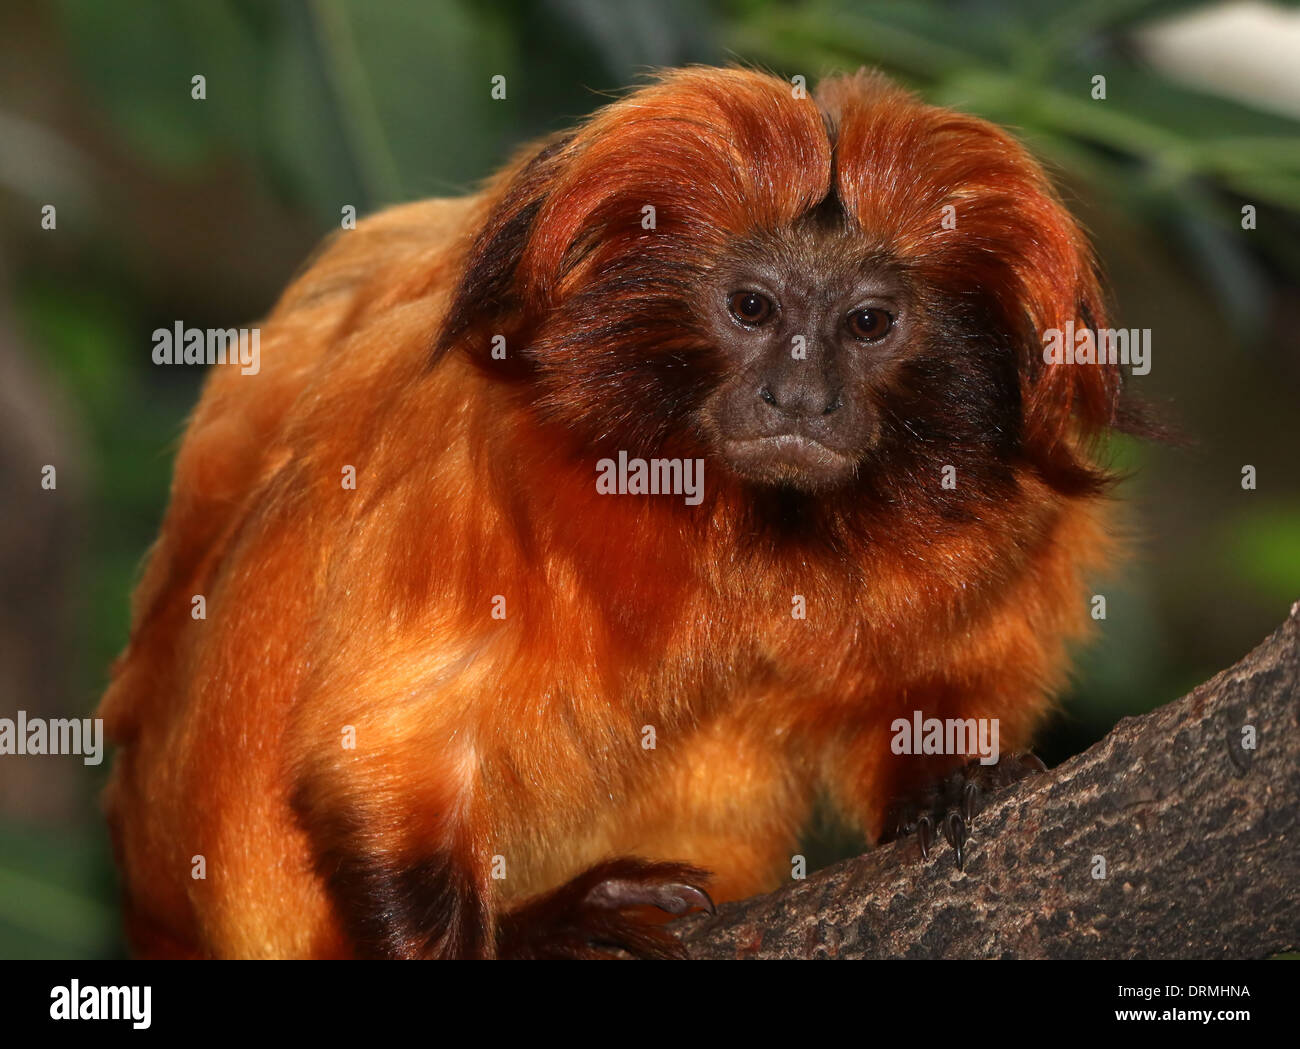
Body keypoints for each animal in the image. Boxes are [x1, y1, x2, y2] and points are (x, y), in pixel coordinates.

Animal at [98, 67, 1138, 961]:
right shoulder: (475, 459)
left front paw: (944, 781)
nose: (801, 397)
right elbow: (384, 741)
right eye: (752, 308)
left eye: (869, 323)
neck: (739, 518)